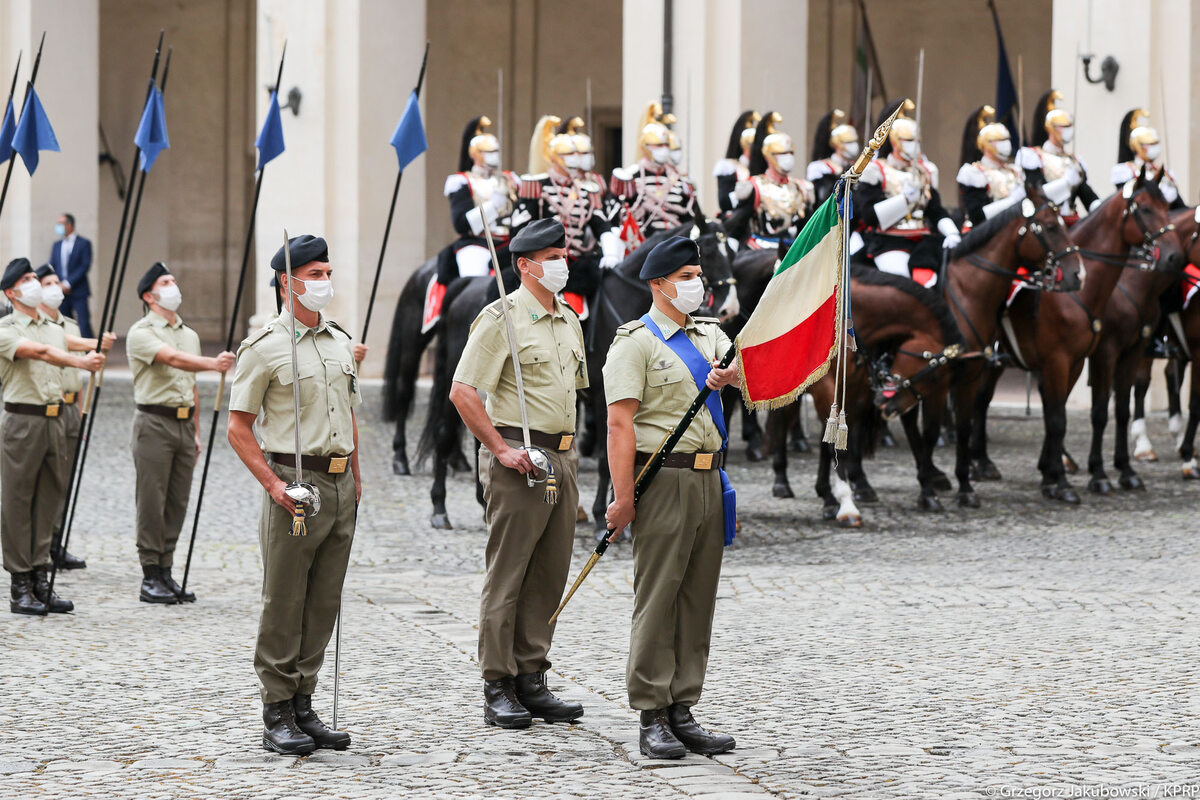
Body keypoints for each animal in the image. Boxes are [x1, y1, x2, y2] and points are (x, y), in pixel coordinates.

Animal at [945, 189, 1089, 506]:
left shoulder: (1073, 363)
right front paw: (1058, 480)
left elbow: (1055, 414)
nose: (1078, 275)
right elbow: (1056, 417)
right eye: (1051, 227)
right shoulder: (1056, 362)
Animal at [979, 170, 1185, 501]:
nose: (1173, 256)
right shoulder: (1099, 354)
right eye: (1144, 208)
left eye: (1167, 207)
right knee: (979, 400)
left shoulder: (1123, 353)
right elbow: (1094, 413)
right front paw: (1095, 475)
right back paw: (980, 464)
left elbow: (1115, 410)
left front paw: (1123, 471)